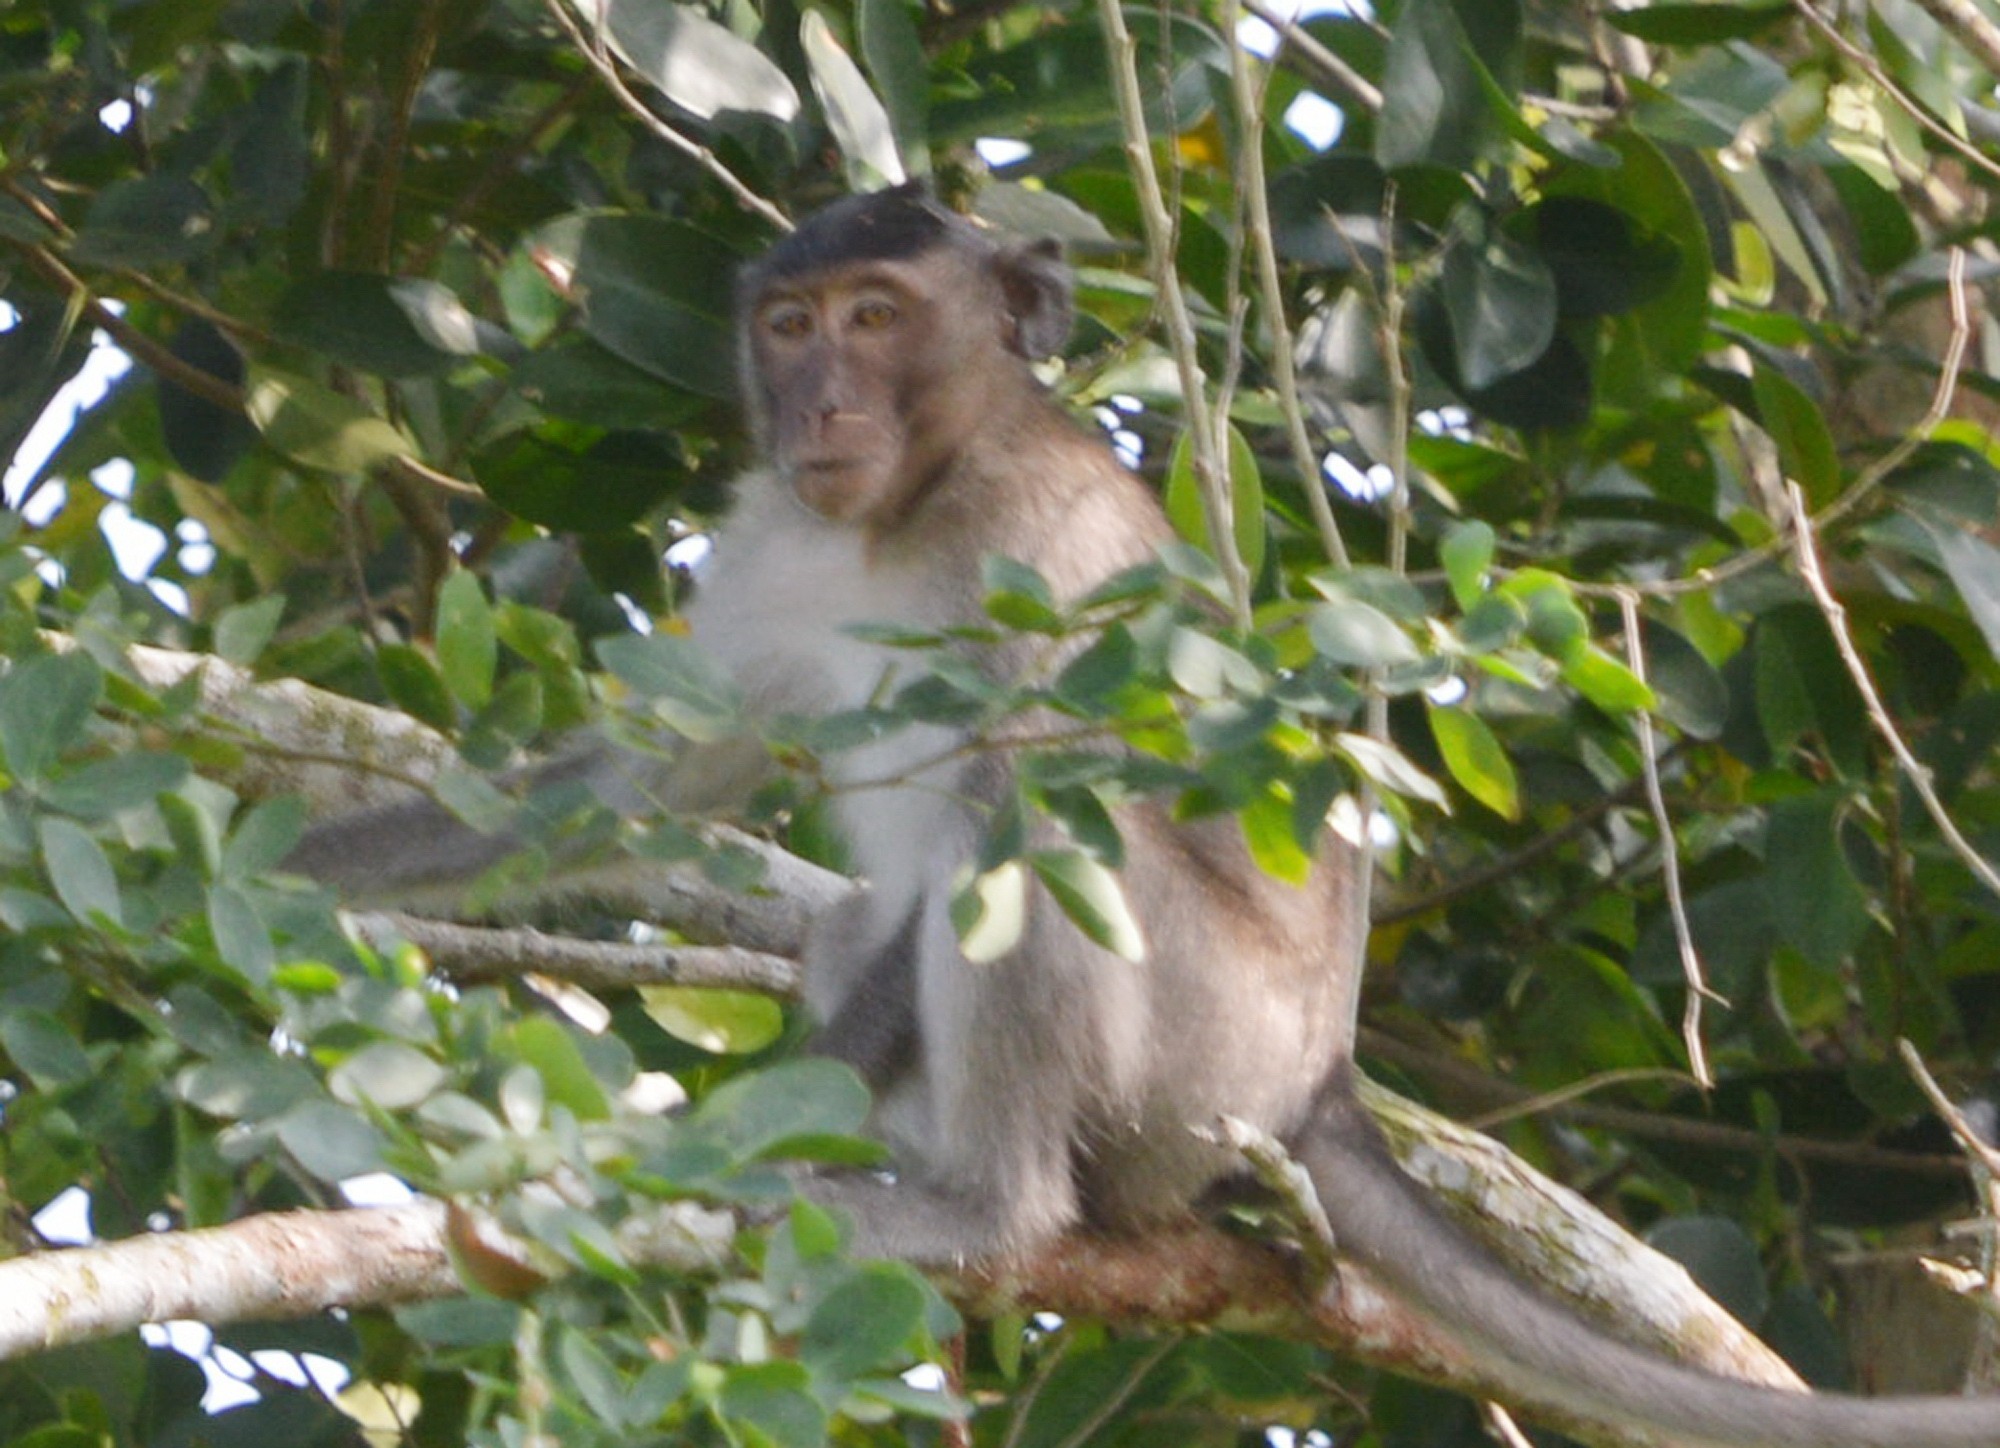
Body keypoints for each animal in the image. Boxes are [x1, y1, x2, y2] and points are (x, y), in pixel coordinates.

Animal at [290, 184, 2000, 1448]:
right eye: (788, 326)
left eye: (875, 317)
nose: (819, 398)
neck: (908, 507)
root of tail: (1323, 1088)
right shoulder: (778, 535)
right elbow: (644, 781)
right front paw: (285, 877)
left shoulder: (1028, 552)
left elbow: (1020, 785)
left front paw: (731, 1144)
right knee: (872, 910)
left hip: (1206, 1067)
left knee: (1037, 824)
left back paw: (983, 1215)